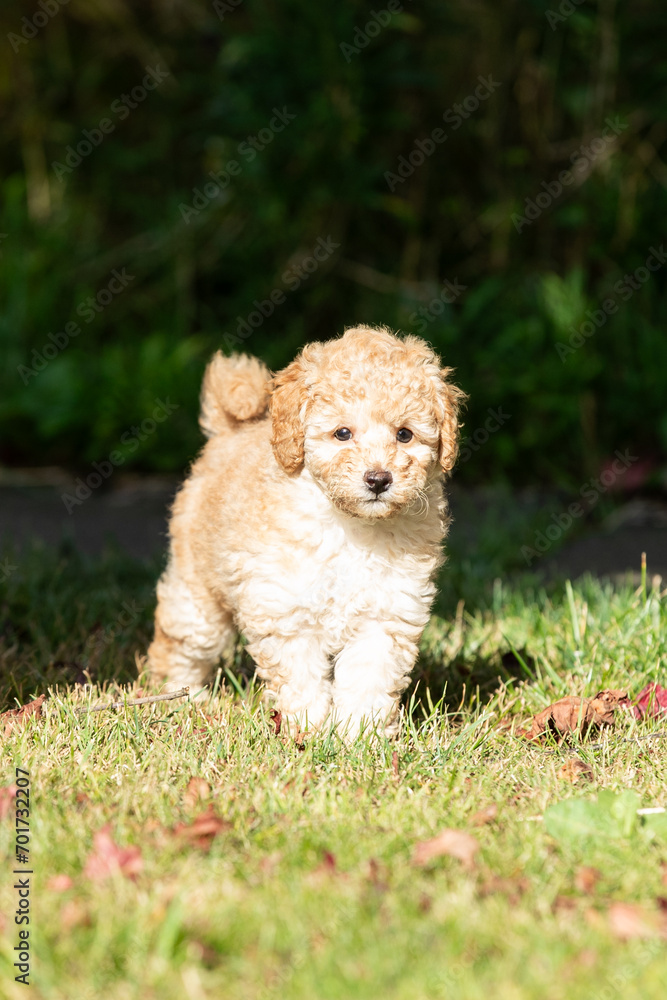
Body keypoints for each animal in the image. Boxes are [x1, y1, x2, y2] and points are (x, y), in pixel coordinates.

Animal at [149, 324, 468, 740]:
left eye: (405, 435)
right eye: (342, 433)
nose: (378, 479)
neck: (351, 527)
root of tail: (228, 431)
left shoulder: (386, 615)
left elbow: (369, 677)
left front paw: (359, 735)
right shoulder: (286, 609)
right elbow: (301, 678)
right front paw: (308, 731)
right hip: (198, 594)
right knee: (179, 643)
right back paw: (181, 698)